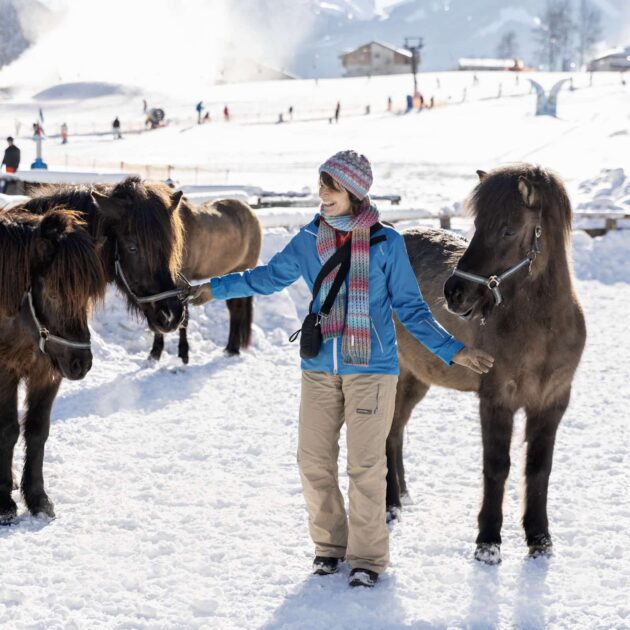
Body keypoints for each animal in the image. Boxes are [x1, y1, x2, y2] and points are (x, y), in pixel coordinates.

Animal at [0, 206, 106, 524]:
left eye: (86, 296)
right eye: (53, 294)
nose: (81, 364)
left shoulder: (46, 373)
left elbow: (37, 430)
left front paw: (38, 499)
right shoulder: (5, 372)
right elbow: (8, 429)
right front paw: (4, 502)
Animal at [149, 198, 262, 366]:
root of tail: (250, 211)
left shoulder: (182, 280)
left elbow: (183, 317)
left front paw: (184, 354)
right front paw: (155, 354)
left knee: (237, 310)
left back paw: (233, 349)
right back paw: (230, 348)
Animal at [388, 165, 592, 564]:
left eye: (508, 229)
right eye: (478, 225)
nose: (454, 293)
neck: (541, 329)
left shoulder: (552, 401)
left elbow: (539, 468)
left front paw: (539, 538)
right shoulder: (497, 399)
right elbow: (497, 466)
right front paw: (488, 542)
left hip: (415, 378)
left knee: (396, 431)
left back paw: (402, 495)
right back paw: (389, 505)